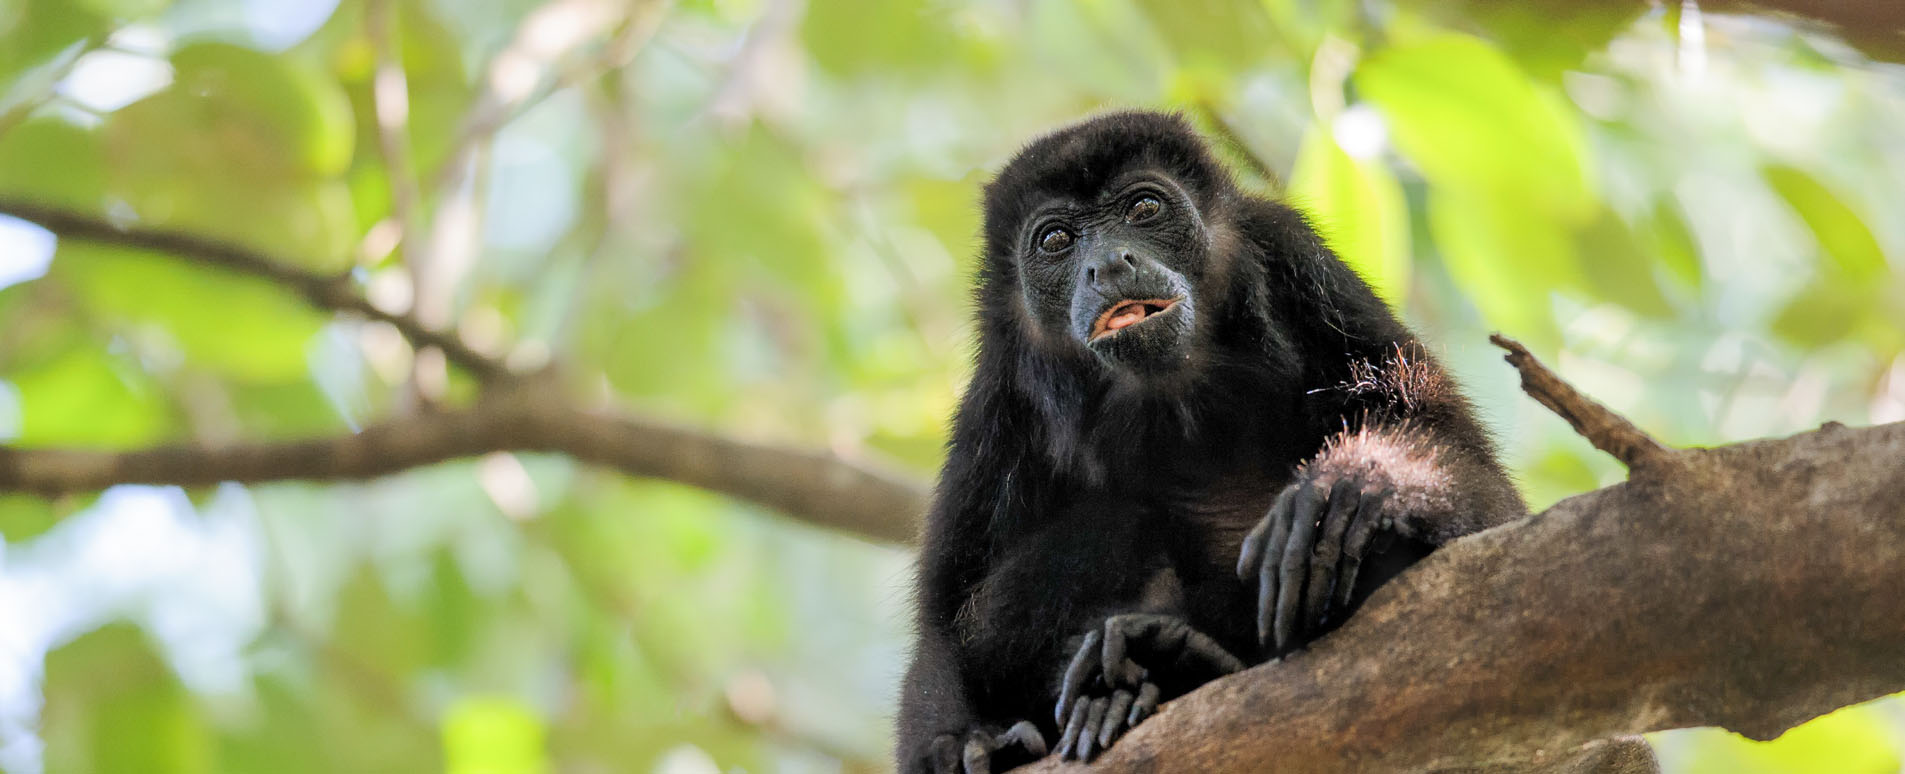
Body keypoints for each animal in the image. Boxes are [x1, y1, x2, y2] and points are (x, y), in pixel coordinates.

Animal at [899, 110, 1524, 774]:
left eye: (1145, 208)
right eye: (1056, 241)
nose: (1110, 264)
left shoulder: (1298, 260)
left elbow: (1484, 493)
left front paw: (1354, 488)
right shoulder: (1000, 398)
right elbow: (941, 623)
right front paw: (957, 744)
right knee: (1118, 523)